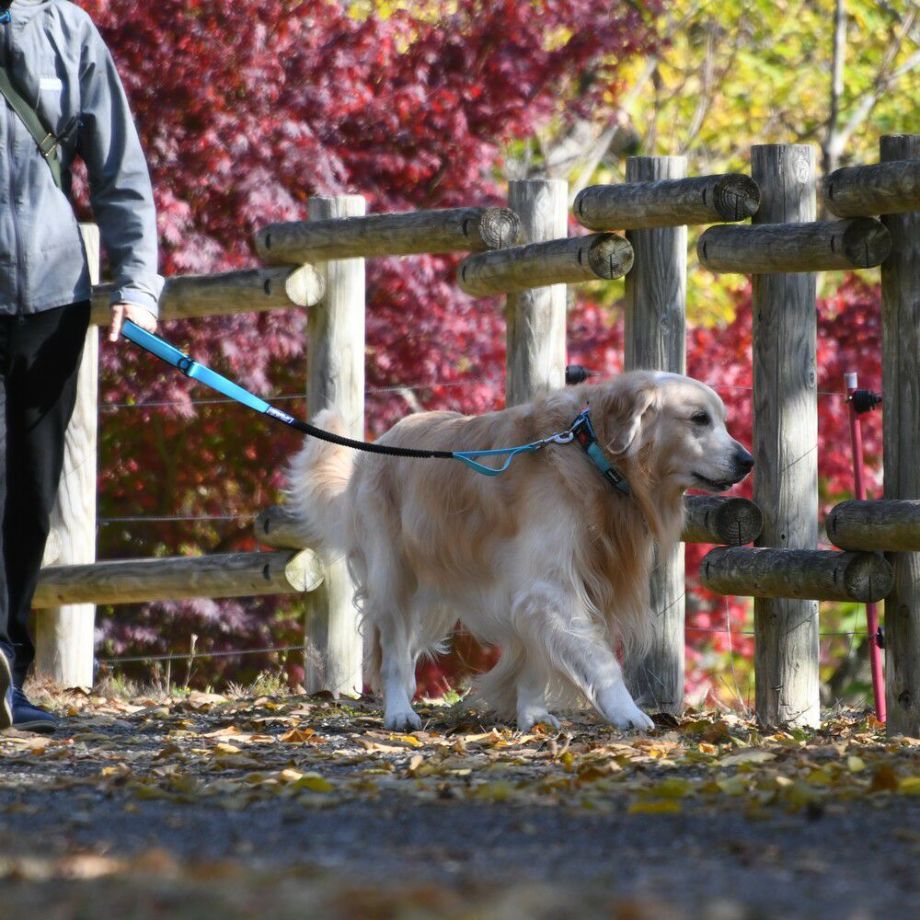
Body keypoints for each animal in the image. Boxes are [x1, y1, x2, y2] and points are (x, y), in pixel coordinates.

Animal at [286, 370, 753, 732]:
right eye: (699, 419)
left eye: (722, 420)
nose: (747, 460)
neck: (593, 454)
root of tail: (378, 445)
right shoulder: (548, 586)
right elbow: (600, 661)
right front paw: (627, 712)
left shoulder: (536, 591)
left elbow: (535, 657)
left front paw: (533, 715)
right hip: (394, 575)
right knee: (395, 656)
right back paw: (400, 711)